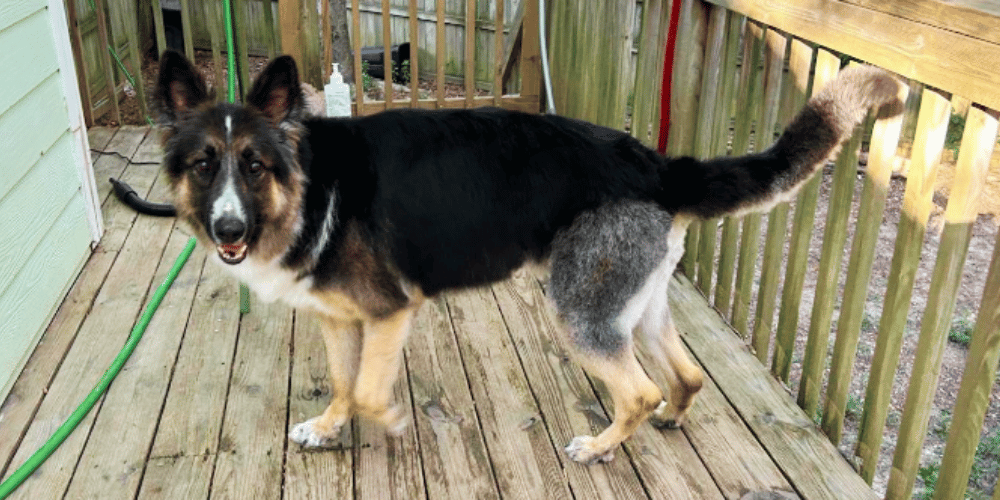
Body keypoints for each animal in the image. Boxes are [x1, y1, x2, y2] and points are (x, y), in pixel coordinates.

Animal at [152, 50, 904, 464]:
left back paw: (601, 447)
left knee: (639, 389)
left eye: (253, 166)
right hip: (635, 308)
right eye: (203, 165)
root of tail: (659, 166)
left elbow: (366, 389)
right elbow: (341, 384)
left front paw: (387, 421)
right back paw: (670, 417)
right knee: (686, 377)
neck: (308, 182)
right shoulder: (340, 319)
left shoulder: (391, 314)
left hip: (580, 316)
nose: (227, 229)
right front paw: (330, 428)